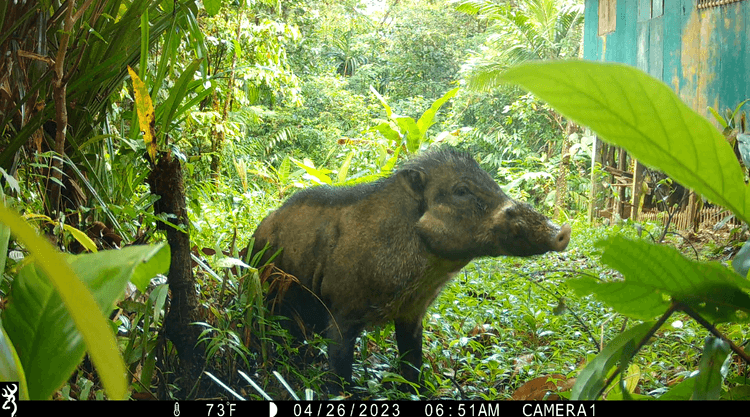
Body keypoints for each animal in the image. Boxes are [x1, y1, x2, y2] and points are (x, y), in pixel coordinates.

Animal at [251, 146, 571, 388]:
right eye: (462, 190)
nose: (562, 231)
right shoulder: (342, 310)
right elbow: (340, 368)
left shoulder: (412, 314)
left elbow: (412, 360)